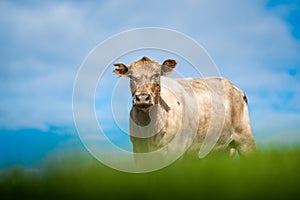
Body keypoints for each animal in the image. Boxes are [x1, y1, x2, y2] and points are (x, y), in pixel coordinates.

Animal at [113, 57, 255, 160]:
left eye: (157, 75)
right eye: (131, 76)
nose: (142, 97)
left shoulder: (175, 150)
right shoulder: (138, 151)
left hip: (245, 139)